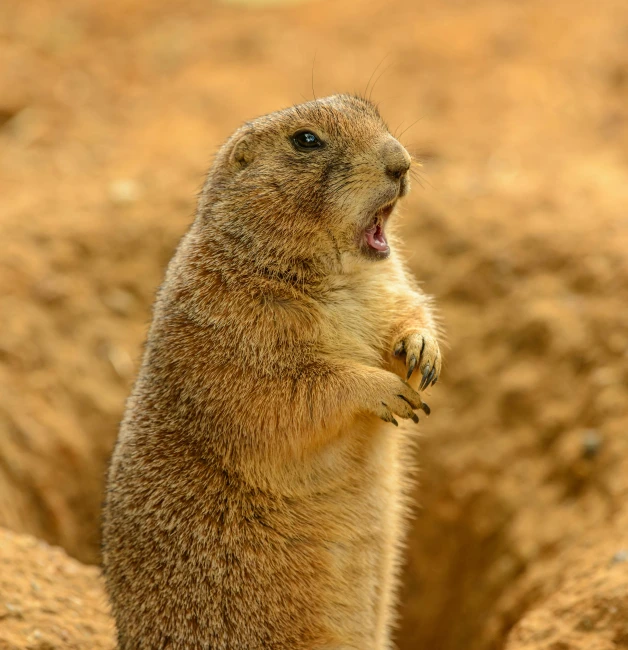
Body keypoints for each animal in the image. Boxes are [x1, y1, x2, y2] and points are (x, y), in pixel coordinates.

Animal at [102, 92, 442, 648]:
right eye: (306, 140)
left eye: (368, 108)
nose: (401, 162)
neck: (343, 276)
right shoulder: (231, 326)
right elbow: (284, 393)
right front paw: (388, 392)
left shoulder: (388, 283)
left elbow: (409, 306)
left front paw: (422, 351)